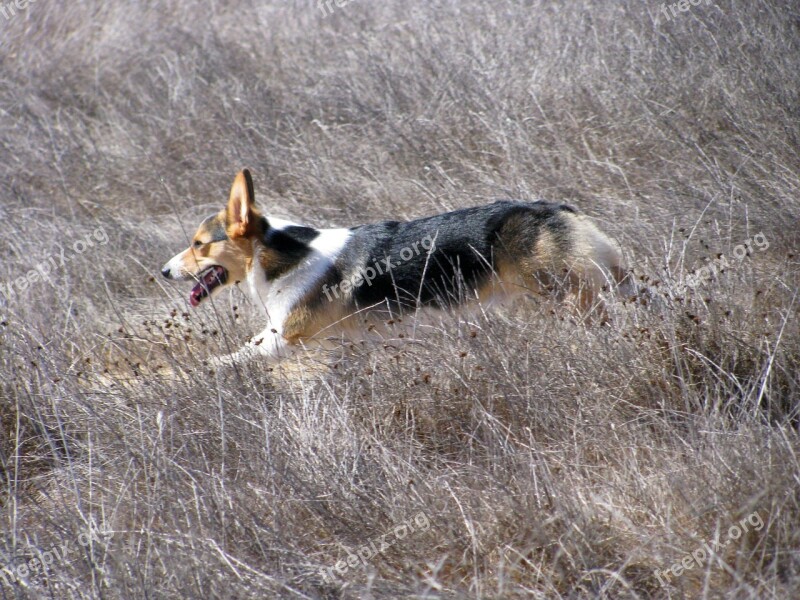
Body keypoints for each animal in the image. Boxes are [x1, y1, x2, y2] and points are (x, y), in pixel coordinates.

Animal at [159, 169, 628, 366]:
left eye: (198, 245)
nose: (163, 272)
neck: (276, 255)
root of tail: (557, 209)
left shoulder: (284, 339)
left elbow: (229, 359)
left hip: (566, 298)